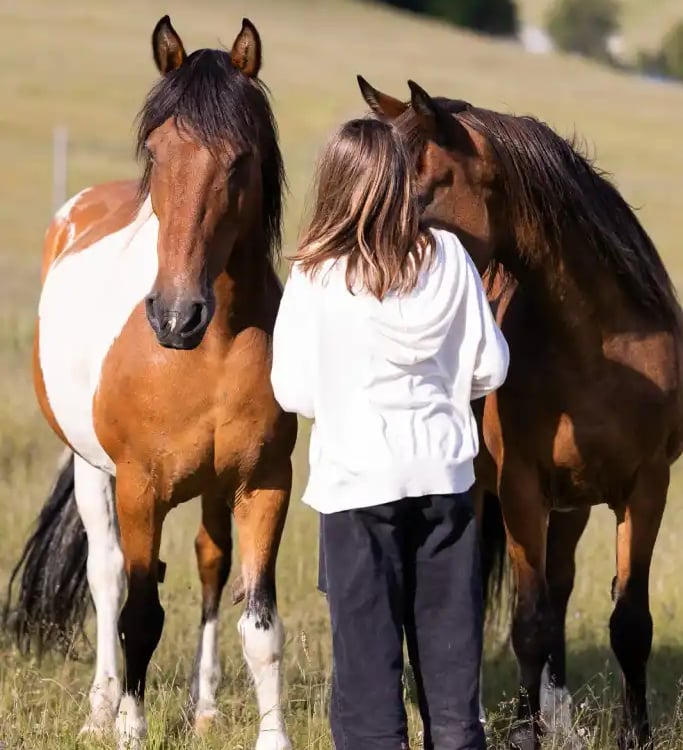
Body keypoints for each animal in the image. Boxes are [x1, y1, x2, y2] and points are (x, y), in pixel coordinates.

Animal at [5, 16, 296, 750]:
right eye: (159, 155)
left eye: (239, 159)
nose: (174, 315)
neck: (211, 351)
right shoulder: (141, 487)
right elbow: (138, 613)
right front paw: (130, 729)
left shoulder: (263, 484)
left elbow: (260, 624)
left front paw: (268, 735)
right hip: (92, 471)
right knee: (109, 579)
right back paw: (100, 709)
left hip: (215, 491)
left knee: (210, 564)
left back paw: (204, 707)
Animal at [356, 76, 683, 750]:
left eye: (423, 192)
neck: (601, 347)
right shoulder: (521, 490)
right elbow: (528, 624)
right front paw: (525, 736)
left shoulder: (646, 486)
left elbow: (627, 621)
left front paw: (630, 735)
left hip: (573, 505)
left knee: (556, 588)